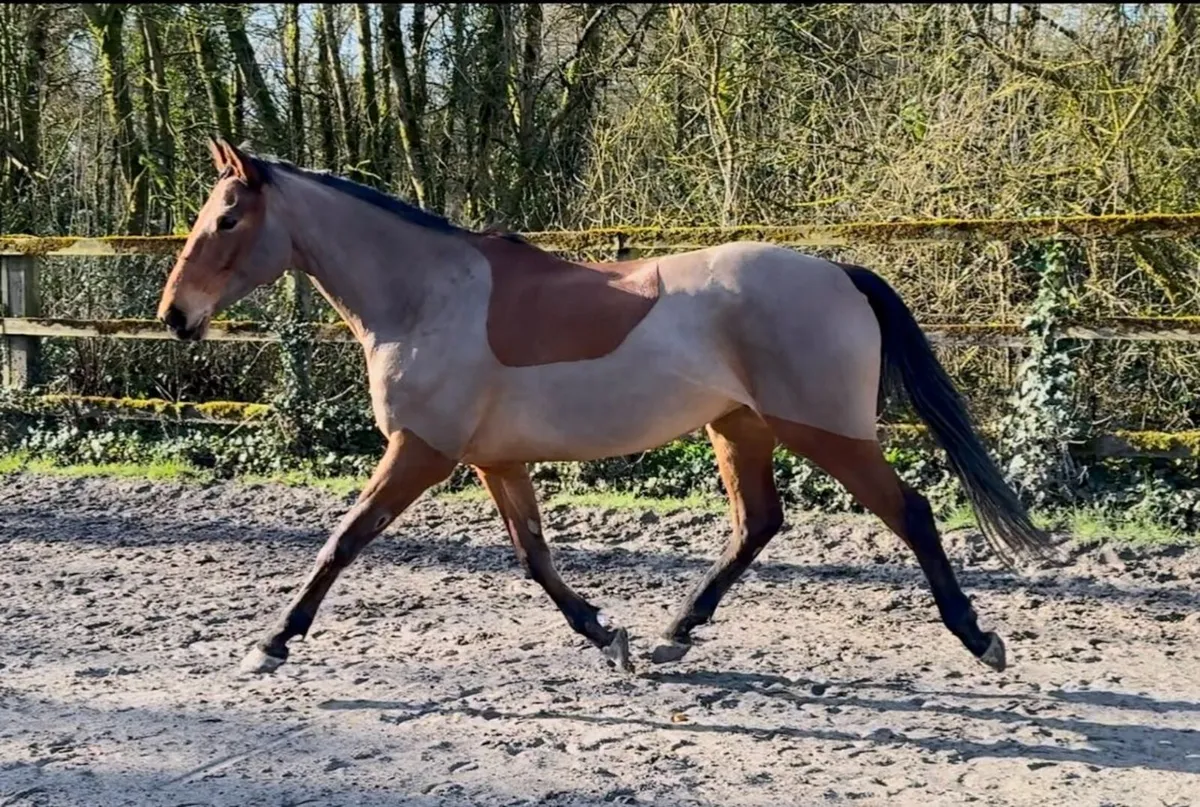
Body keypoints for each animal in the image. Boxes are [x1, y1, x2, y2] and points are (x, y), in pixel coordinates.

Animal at [156, 137, 1051, 676]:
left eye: (227, 218)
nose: (175, 315)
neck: (422, 297)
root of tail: (839, 272)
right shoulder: (495, 460)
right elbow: (534, 556)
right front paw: (606, 632)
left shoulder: (422, 450)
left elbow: (342, 539)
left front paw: (270, 642)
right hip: (740, 428)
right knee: (758, 522)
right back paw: (671, 634)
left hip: (825, 431)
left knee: (911, 511)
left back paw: (980, 637)